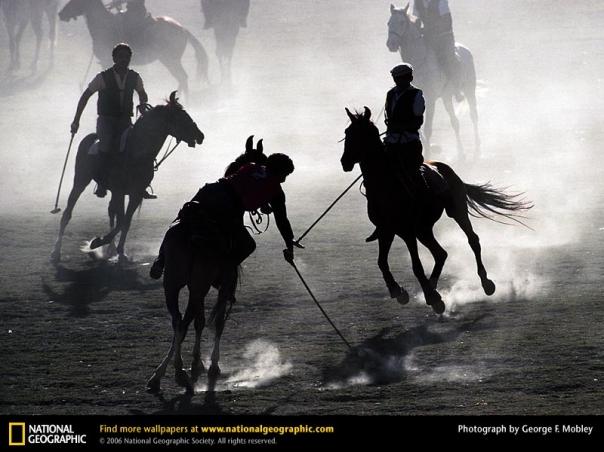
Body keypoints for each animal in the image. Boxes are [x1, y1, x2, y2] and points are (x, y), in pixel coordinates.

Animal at [50, 92, 205, 264]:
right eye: (181, 117)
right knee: (67, 213)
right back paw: (56, 252)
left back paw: (110, 249)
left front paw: (120, 252)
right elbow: (122, 220)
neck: (137, 152)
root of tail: (90, 137)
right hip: (81, 180)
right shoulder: (119, 191)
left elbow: (126, 221)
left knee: (111, 211)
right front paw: (96, 243)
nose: (200, 136)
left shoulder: (135, 193)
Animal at [58, 0, 209, 95]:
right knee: (182, 78)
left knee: (182, 77)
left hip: (170, 60)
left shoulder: (107, 62)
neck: (104, 24)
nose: (61, 14)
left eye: (75, 0)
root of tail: (183, 29)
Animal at [145, 132, 266, 392]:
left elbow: (196, 320)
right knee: (190, 321)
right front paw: (210, 364)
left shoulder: (195, 286)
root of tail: (192, 232)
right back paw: (178, 372)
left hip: (173, 284)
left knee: (178, 321)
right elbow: (217, 321)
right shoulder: (224, 282)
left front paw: (195, 363)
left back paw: (164, 374)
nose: (265, 206)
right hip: (199, 284)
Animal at [342, 108, 532, 314]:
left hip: (455, 212)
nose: (345, 162)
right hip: (423, 229)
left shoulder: (407, 232)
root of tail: (447, 169)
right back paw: (432, 290)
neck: (386, 185)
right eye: (347, 133)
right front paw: (398, 291)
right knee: (440, 253)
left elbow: (416, 266)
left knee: (472, 240)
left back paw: (484, 283)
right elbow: (382, 262)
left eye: (360, 135)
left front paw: (428, 295)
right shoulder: (387, 230)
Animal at [386, 3, 482, 158]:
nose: (391, 44)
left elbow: (427, 129)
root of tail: (465, 50)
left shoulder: (430, 99)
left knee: (473, 116)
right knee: (455, 122)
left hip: (469, 90)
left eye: (401, 22)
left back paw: (477, 148)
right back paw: (460, 152)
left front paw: (428, 155)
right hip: (446, 96)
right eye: (389, 23)